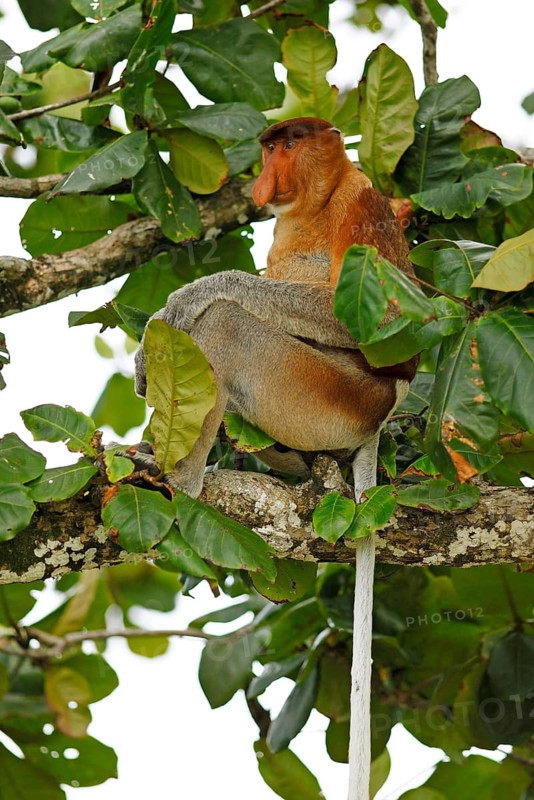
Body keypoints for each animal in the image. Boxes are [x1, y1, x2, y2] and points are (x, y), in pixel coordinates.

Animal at [135, 117, 417, 500]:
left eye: (290, 147)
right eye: (269, 149)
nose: (266, 180)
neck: (318, 205)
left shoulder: (360, 203)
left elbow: (385, 319)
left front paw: (188, 298)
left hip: (330, 398)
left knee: (225, 322)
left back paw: (179, 480)